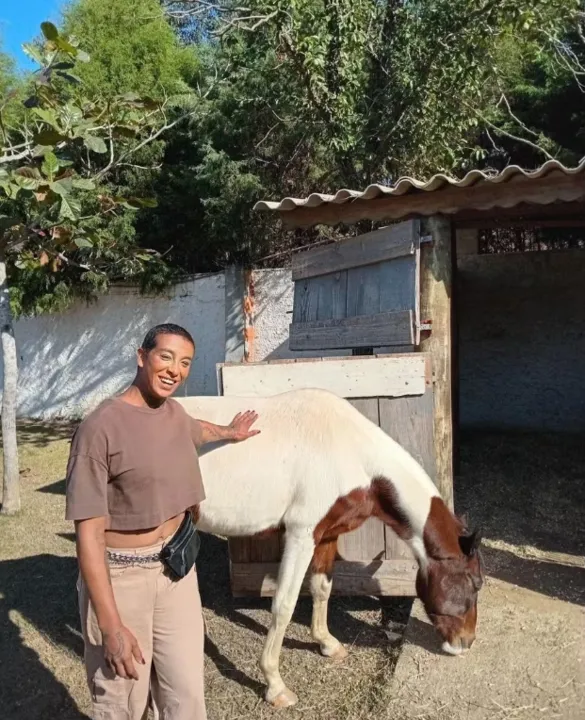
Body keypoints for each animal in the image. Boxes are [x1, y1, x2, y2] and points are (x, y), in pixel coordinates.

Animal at [175, 388, 484, 708]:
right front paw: (275, 685)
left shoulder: (325, 536)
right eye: (475, 583)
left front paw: (327, 643)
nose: (465, 641)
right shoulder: (301, 534)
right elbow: (284, 605)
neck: (351, 452)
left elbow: (322, 588)